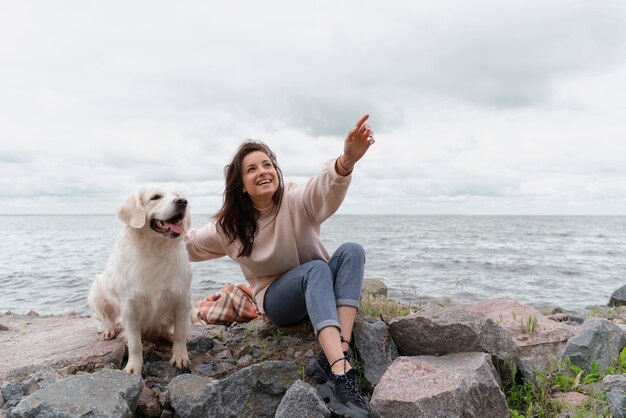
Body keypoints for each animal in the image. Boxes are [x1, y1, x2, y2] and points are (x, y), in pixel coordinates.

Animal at [88, 188, 190, 374]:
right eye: (156, 197)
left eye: (178, 195)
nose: (182, 202)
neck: (155, 251)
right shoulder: (129, 306)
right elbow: (135, 343)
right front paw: (133, 367)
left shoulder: (182, 299)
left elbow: (180, 333)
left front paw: (180, 357)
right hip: (97, 291)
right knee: (106, 318)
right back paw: (110, 330)